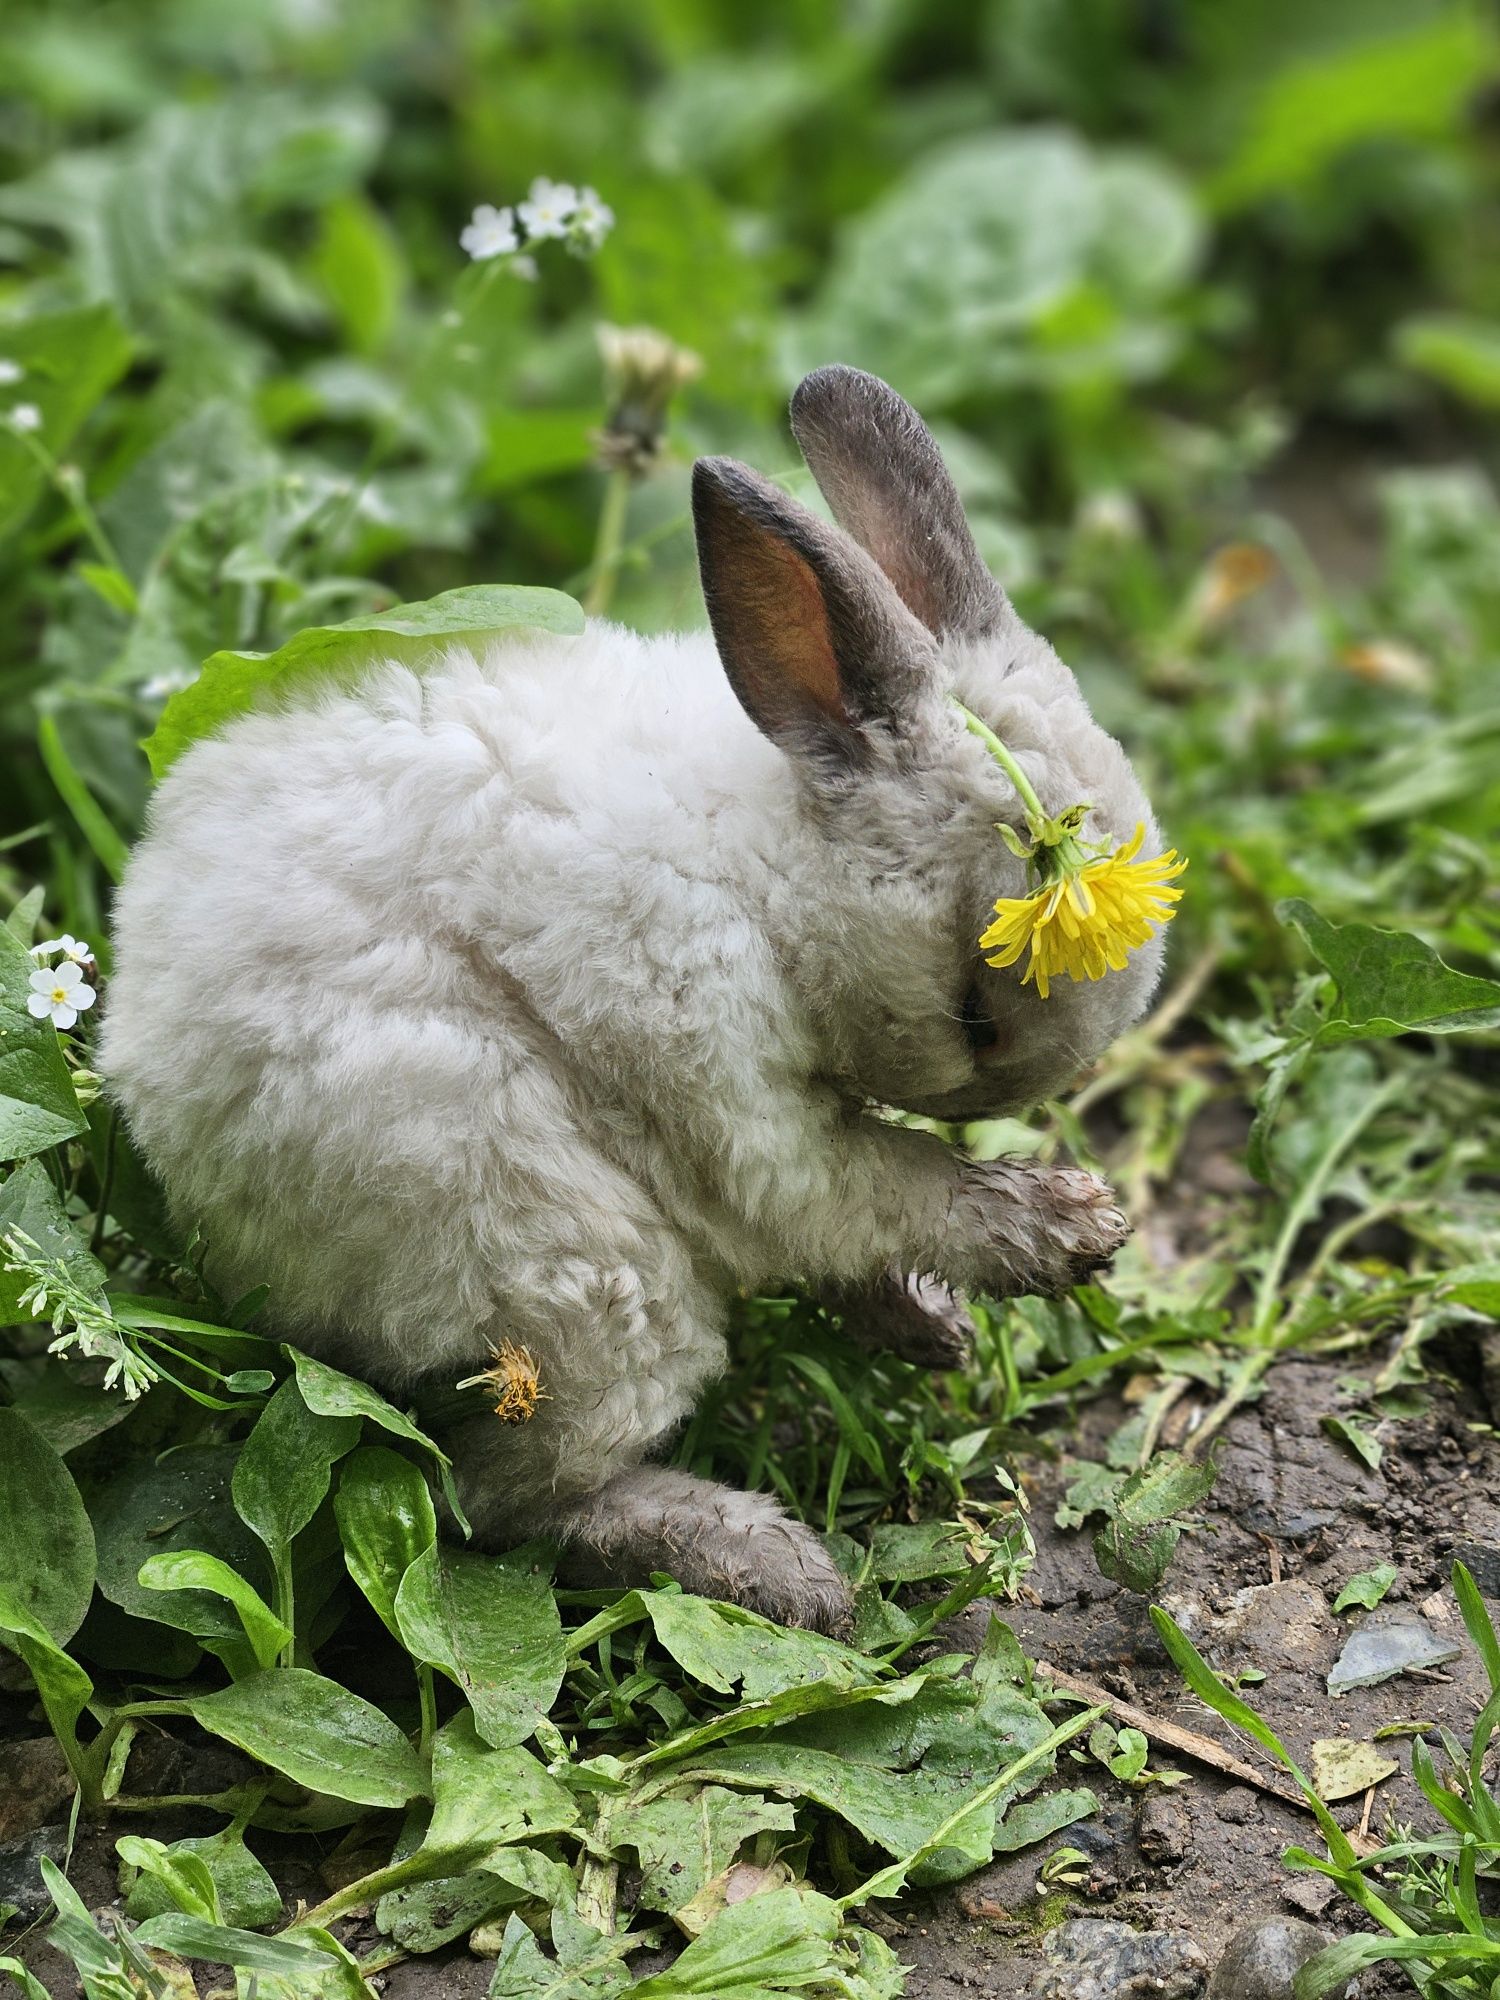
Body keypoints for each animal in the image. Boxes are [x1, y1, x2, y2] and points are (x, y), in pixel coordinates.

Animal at [103, 368, 1176, 1632]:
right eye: (976, 1016)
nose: (1031, 1092)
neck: (774, 867)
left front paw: (941, 1320)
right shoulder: (740, 1100)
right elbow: (885, 1188)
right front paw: (1068, 1230)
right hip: (580, 1268)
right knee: (506, 1498)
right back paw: (777, 1566)